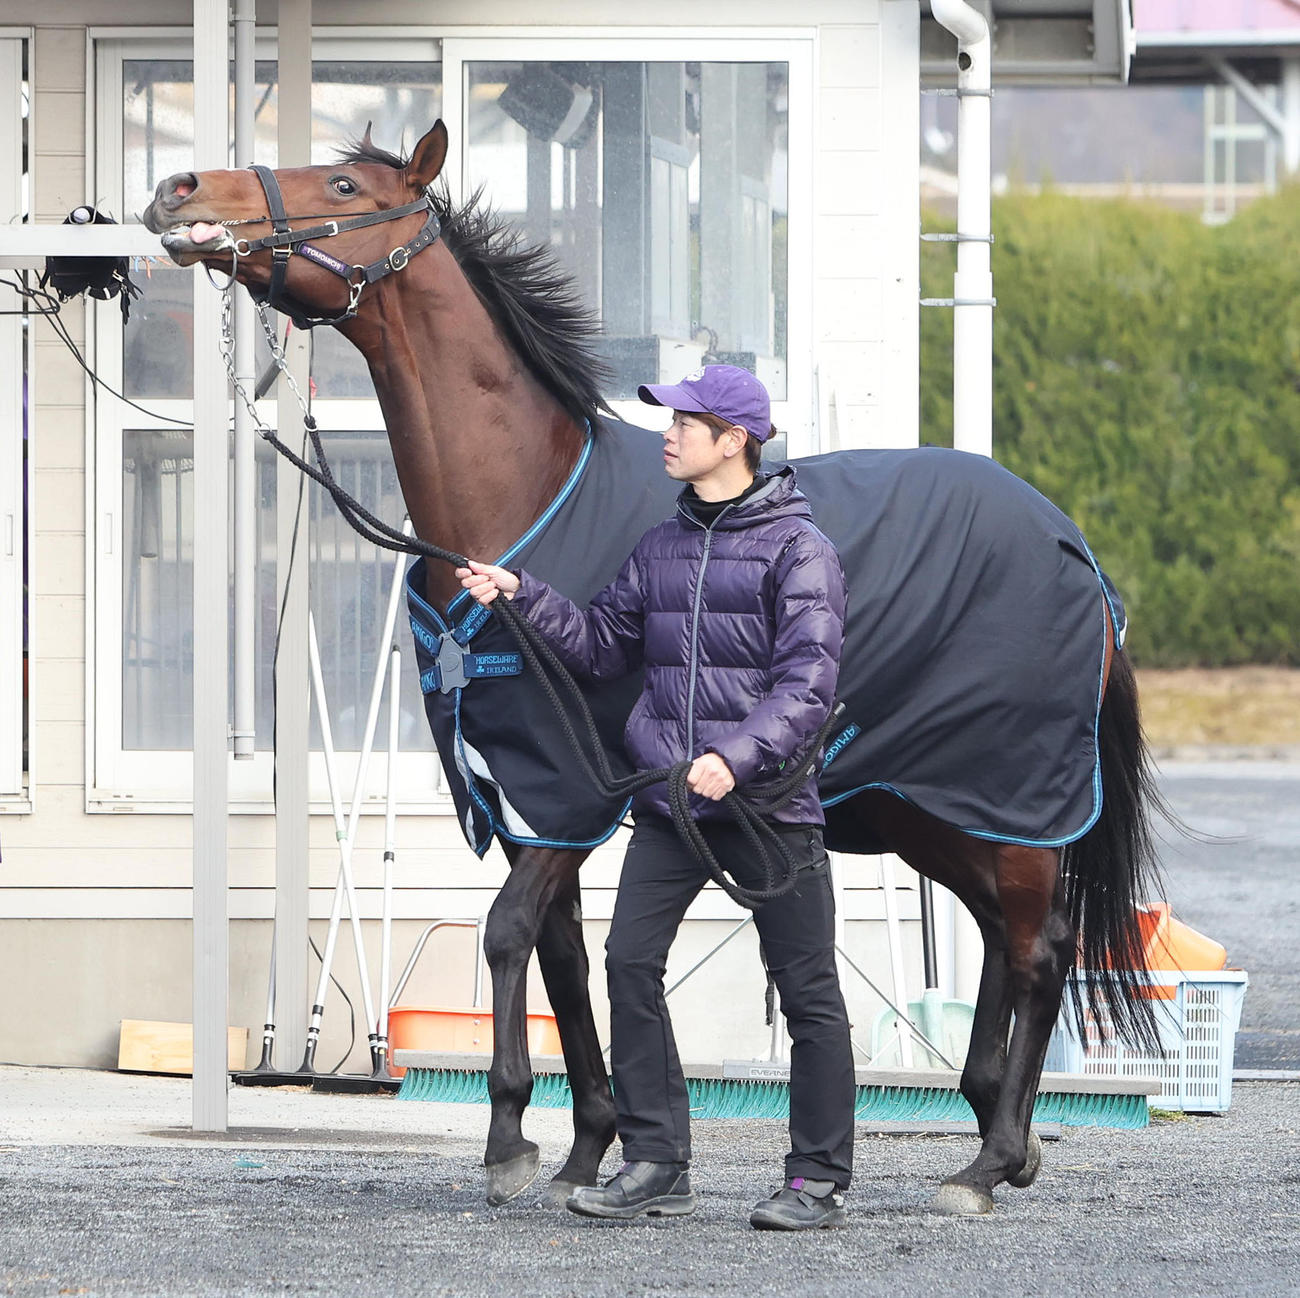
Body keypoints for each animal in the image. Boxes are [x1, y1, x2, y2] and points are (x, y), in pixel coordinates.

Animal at [142, 119, 1163, 1217]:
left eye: (340, 185)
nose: (177, 188)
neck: (525, 502)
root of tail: (1072, 545)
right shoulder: (534, 803)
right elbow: (562, 958)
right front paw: (593, 1145)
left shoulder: (572, 793)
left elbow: (508, 934)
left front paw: (509, 1139)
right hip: (928, 806)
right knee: (1003, 935)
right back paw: (995, 1131)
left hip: (1004, 793)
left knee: (1039, 945)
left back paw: (989, 1157)